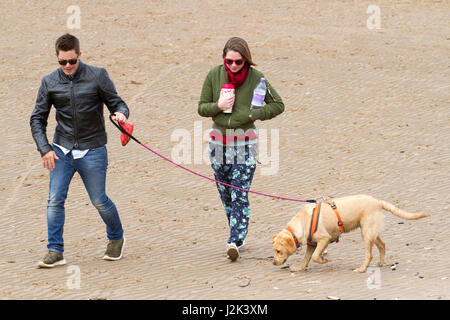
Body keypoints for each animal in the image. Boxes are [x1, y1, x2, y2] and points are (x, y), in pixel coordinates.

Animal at [270, 195, 428, 272]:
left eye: (278, 251)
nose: (273, 263)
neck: (301, 223)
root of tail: (377, 201)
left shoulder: (324, 239)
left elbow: (314, 257)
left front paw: (324, 260)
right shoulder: (312, 244)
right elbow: (306, 258)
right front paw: (299, 268)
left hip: (366, 233)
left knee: (369, 255)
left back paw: (361, 269)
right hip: (372, 232)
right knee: (382, 245)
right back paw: (381, 263)